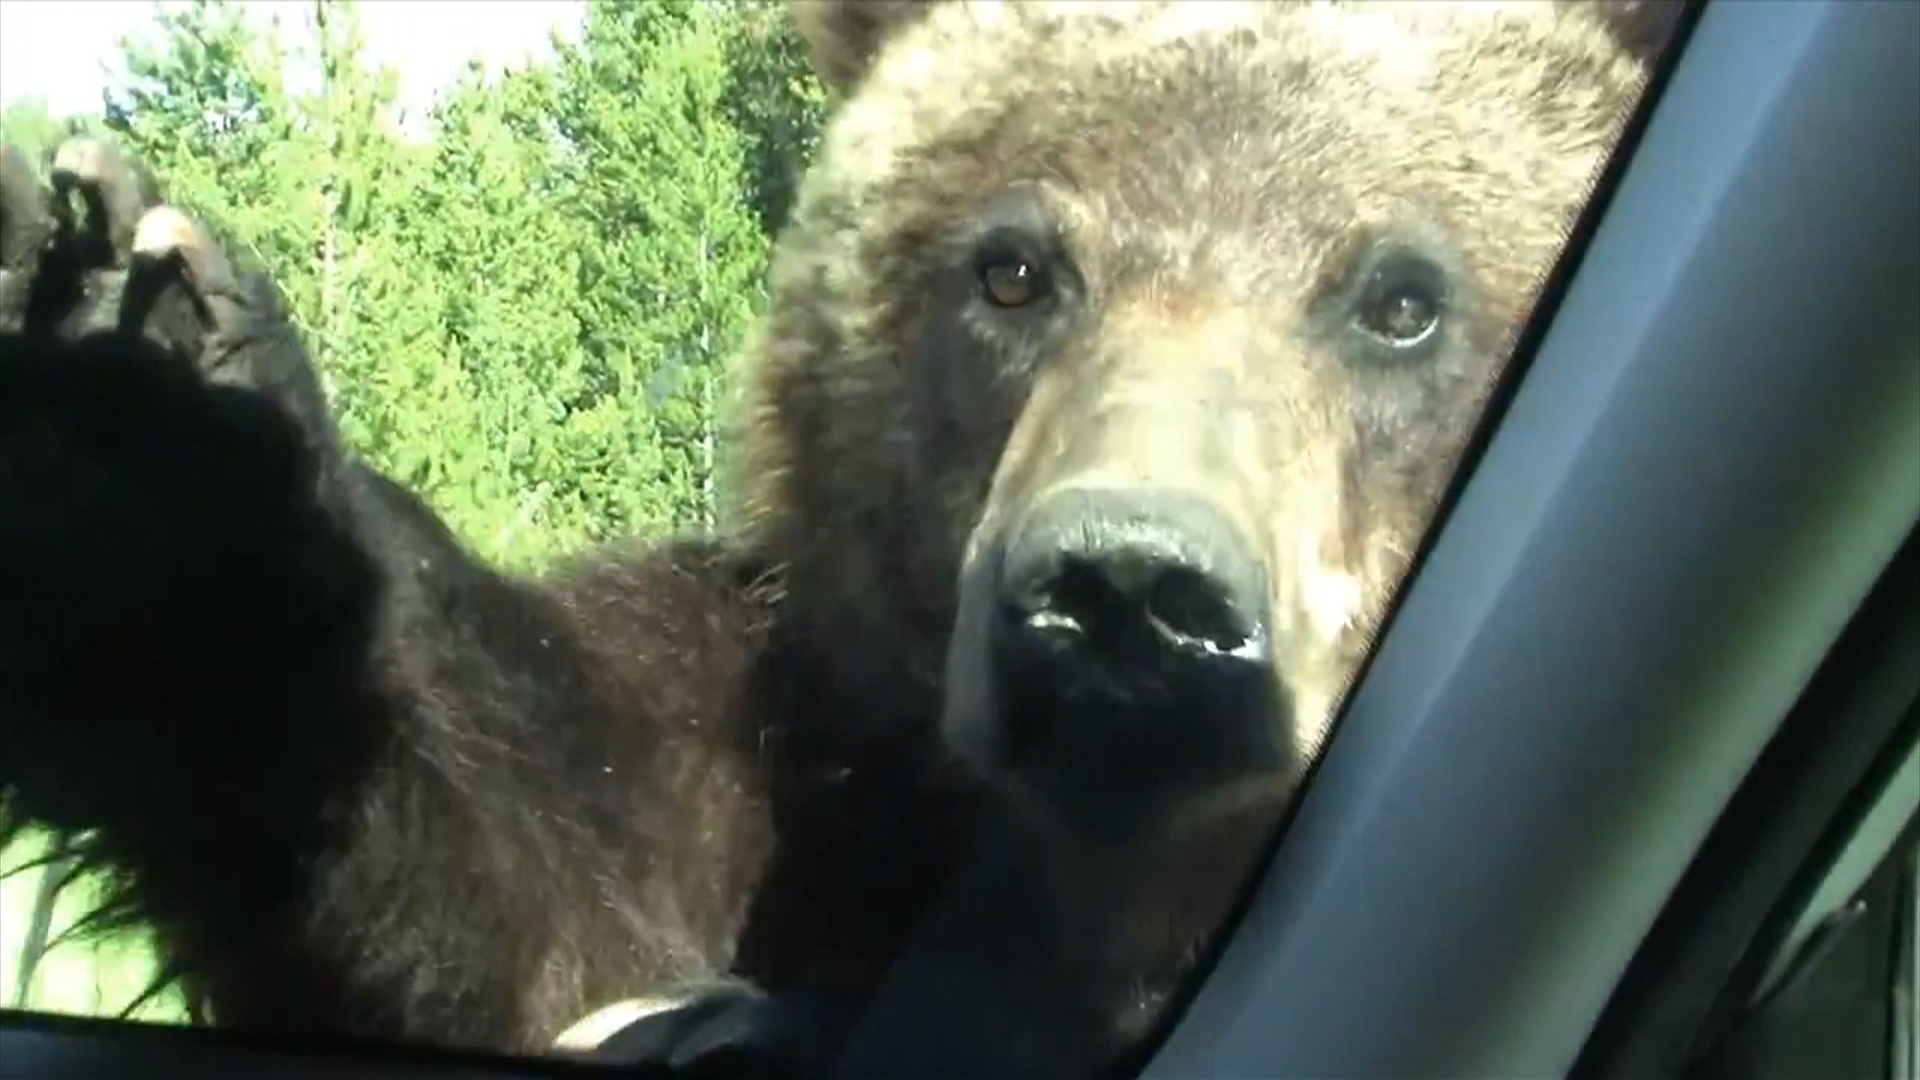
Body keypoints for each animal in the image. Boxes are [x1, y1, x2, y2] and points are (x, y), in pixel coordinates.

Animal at [0, 0, 1681, 1068]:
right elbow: (543, 895)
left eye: (1399, 295)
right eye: (1014, 268)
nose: (1127, 592)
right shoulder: (778, 753)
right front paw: (136, 368)